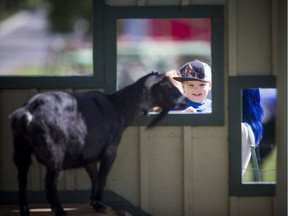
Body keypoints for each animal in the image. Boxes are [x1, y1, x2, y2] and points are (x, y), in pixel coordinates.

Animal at [10, 72, 188, 216]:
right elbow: (102, 176)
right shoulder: (110, 150)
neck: (118, 107)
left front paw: (94, 203)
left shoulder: (88, 156)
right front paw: (100, 204)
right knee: (50, 181)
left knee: (22, 177)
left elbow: (94, 177)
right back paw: (60, 210)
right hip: (54, 152)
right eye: (166, 85)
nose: (185, 100)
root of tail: (28, 112)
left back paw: (25, 210)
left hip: (21, 148)